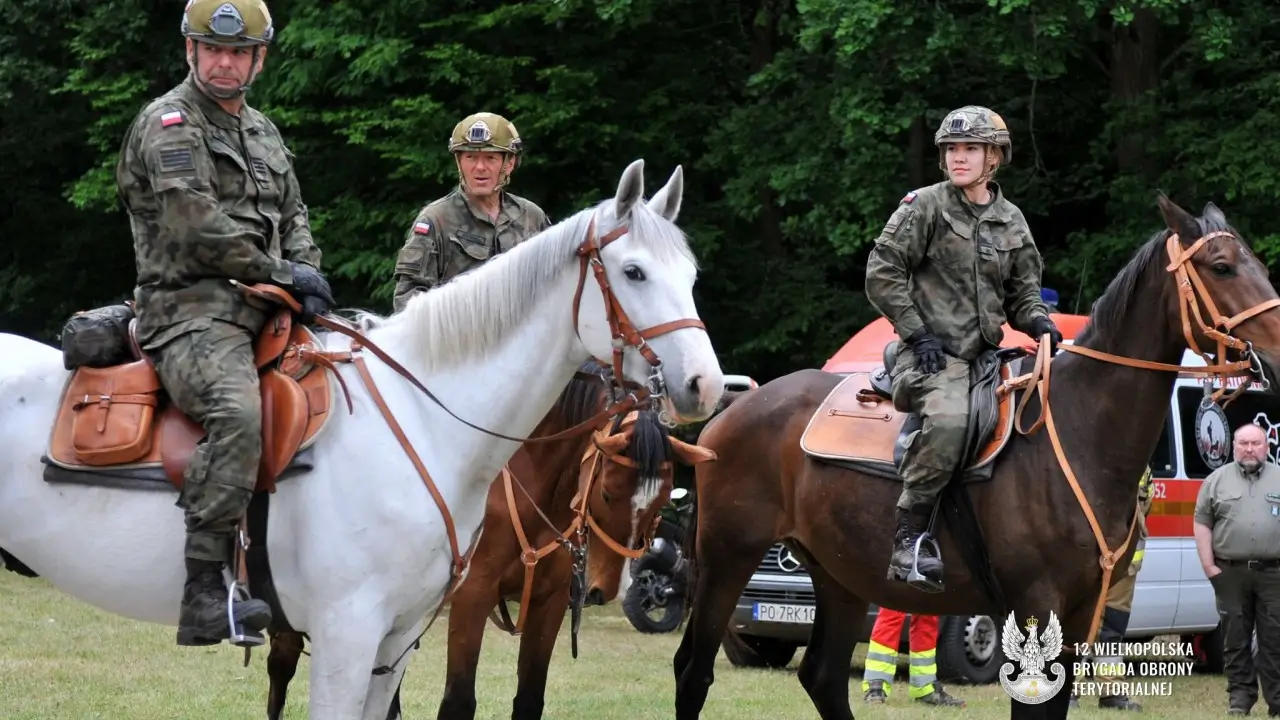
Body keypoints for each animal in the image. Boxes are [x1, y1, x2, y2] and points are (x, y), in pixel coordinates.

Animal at [263, 361, 716, 712]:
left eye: (661, 501)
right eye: (607, 492)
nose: (607, 590)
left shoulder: (550, 603)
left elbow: (530, 697)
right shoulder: (472, 596)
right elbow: (458, 700)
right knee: (281, 667)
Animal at [670, 192, 1280, 717]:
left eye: (1256, 263)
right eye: (1222, 266)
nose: (1275, 353)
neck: (1082, 434)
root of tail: (730, 413)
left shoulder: (1080, 611)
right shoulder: (1035, 604)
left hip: (838, 575)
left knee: (820, 675)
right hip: (728, 559)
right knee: (693, 669)